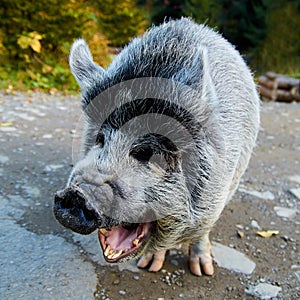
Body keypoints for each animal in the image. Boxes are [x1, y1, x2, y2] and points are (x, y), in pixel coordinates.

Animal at [54, 18, 260, 276]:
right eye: (100, 139)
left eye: (146, 153)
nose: (77, 194)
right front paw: (150, 266)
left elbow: (204, 228)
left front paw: (203, 271)